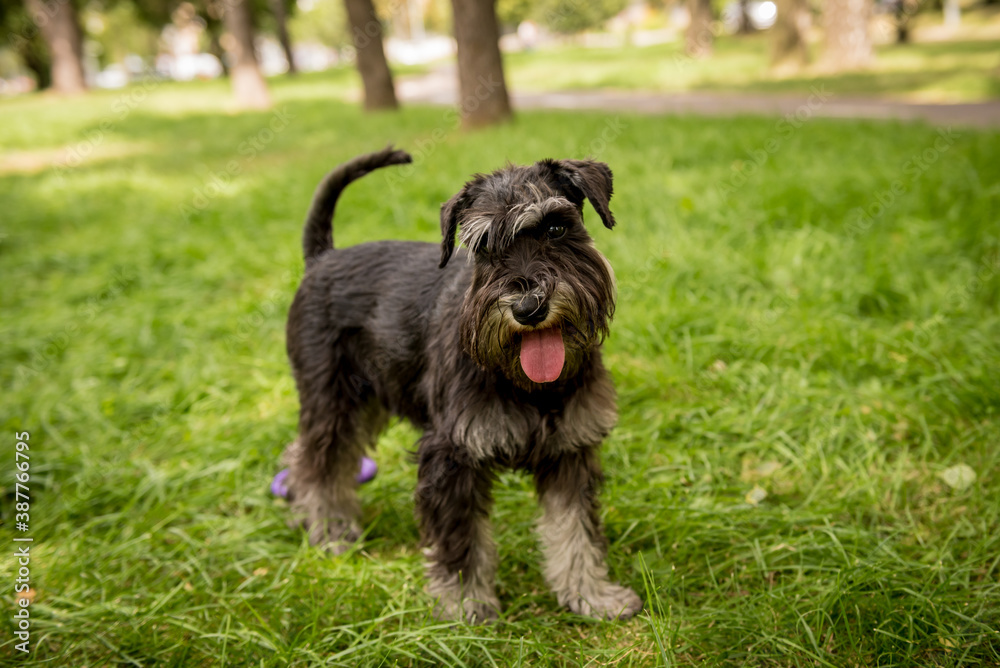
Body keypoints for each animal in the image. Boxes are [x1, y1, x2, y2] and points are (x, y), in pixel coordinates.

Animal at [280, 145, 640, 620]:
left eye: (557, 227)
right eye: (483, 246)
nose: (528, 307)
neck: (525, 381)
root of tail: (322, 258)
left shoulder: (570, 452)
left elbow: (575, 530)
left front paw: (592, 595)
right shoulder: (451, 455)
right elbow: (460, 540)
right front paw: (465, 605)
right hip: (332, 401)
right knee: (317, 464)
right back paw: (331, 532)